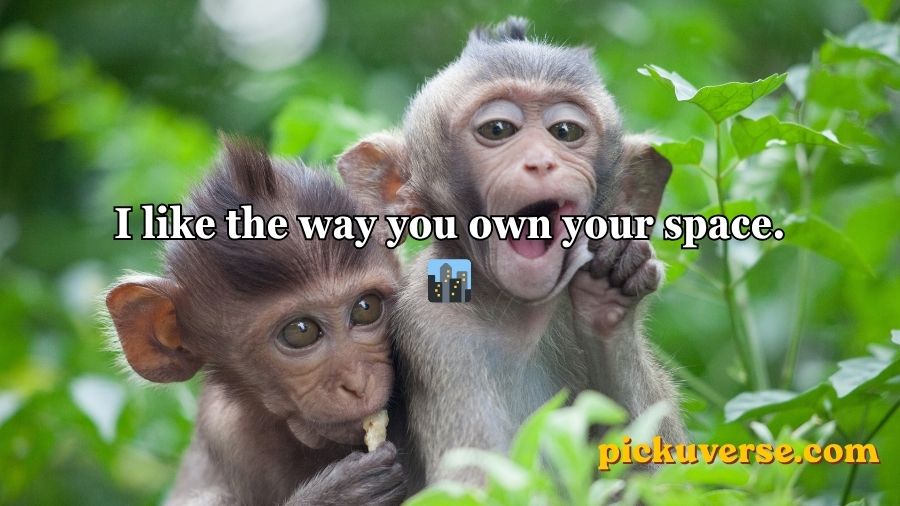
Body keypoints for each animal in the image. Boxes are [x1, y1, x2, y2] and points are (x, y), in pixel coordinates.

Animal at [337, 17, 686, 489]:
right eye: (498, 130)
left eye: (565, 132)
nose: (541, 161)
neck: (522, 317)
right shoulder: (437, 330)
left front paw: (611, 293)